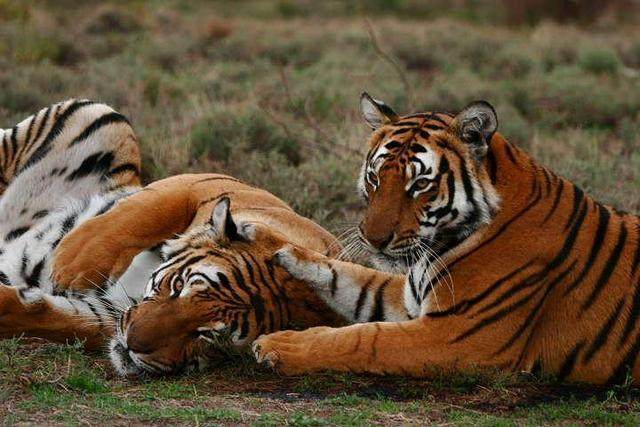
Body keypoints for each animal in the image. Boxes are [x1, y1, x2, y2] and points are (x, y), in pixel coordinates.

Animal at [0, 99, 344, 374]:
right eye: (179, 286)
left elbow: (50, 317)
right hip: (103, 118)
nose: (132, 344)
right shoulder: (204, 183)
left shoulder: (108, 309)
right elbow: (149, 210)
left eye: (206, 334)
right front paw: (73, 265)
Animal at [251, 95, 640, 386]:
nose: (375, 240)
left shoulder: (459, 334)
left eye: (420, 184)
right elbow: (352, 277)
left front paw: (278, 345)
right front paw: (270, 241)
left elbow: (364, 338)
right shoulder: (410, 296)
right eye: (375, 177)